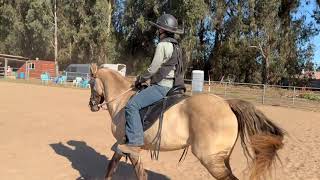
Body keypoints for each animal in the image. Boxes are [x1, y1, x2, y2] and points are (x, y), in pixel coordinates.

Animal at [87, 64, 284, 180]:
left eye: (90, 83)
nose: (92, 105)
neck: (122, 101)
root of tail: (227, 103)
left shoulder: (127, 146)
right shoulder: (123, 146)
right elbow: (113, 167)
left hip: (211, 160)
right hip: (221, 159)